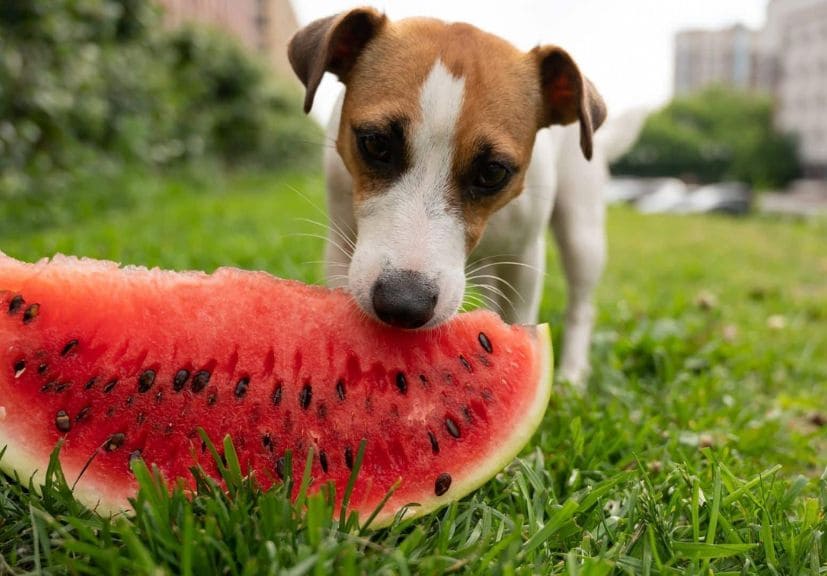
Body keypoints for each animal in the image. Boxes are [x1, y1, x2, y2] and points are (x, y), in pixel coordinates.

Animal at [290, 6, 608, 384]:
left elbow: (520, 316)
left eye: (493, 172)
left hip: (581, 233)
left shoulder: (525, 256)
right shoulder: (342, 241)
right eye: (376, 143)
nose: (403, 304)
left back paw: (573, 372)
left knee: (582, 306)